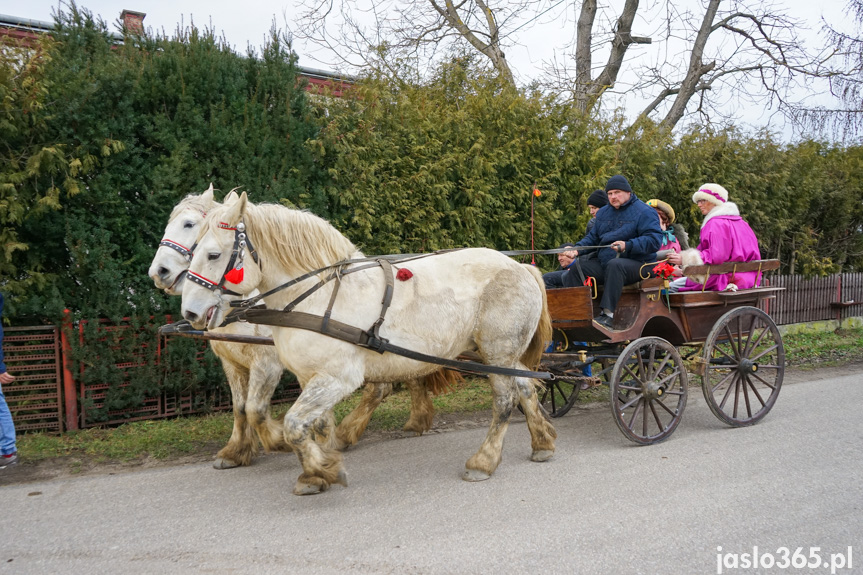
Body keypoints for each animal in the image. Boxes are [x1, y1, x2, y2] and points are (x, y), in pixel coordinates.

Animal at [147, 187, 452, 470]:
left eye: (189, 224)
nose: (158, 272)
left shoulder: (267, 362)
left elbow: (255, 409)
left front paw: (279, 440)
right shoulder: (232, 363)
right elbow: (239, 408)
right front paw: (236, 451)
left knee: (382, 388)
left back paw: (350, 432)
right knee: (410, 374)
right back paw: (416, 420)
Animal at [184, 192, 560, 496]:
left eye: (213, 254)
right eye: (193, 249)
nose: (190, 312)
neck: (317, 294)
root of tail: (521, 266)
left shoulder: (337, 377)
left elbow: (292, 424)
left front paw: (323, 469)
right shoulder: (310, 377)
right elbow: (314, 425)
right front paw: (316, 471)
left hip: (497, 350)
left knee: (505, 399)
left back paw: (483, 461)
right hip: (501, 353)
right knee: (526, 386)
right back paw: (542, 442)